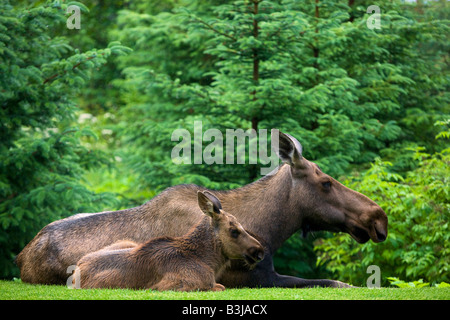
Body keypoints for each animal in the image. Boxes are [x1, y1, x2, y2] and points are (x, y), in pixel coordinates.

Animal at [73, 191, 264, 292]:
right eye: (234, 230)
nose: (259, 251)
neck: (208, 261)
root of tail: (76, 270)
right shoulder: (174, 286)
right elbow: (220, 286)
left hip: (128, 242)